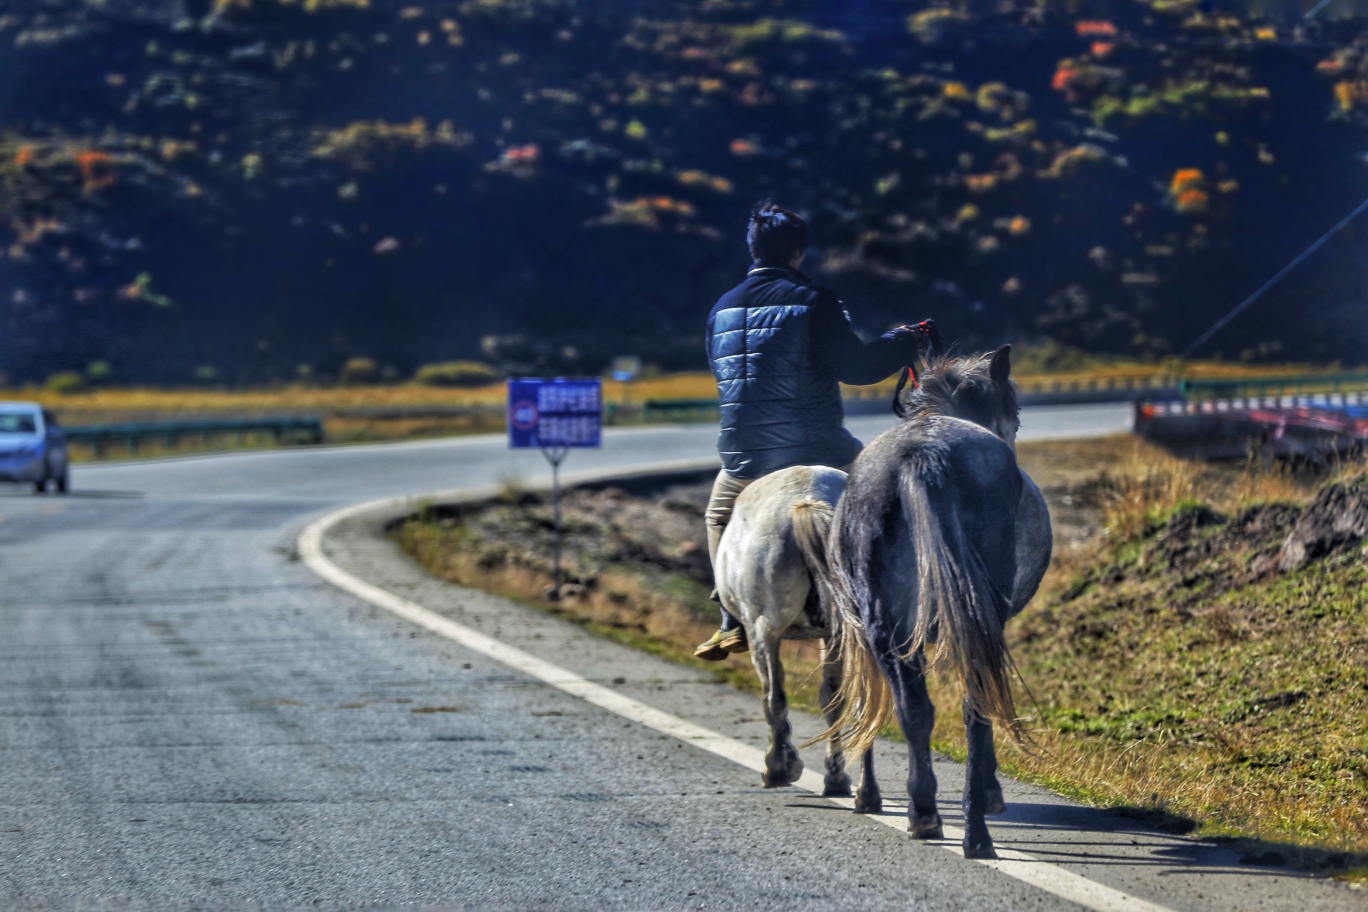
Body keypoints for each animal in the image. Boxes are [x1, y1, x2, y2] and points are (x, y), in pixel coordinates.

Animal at [815, 345, 1050, 858]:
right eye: (1015, 417)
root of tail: (925, 454)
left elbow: (874, 706)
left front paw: (867, 794)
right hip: (966, 619)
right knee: (972, 705)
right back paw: (973, 830)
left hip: (888, 628)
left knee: (915, 711)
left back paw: (925, 814)